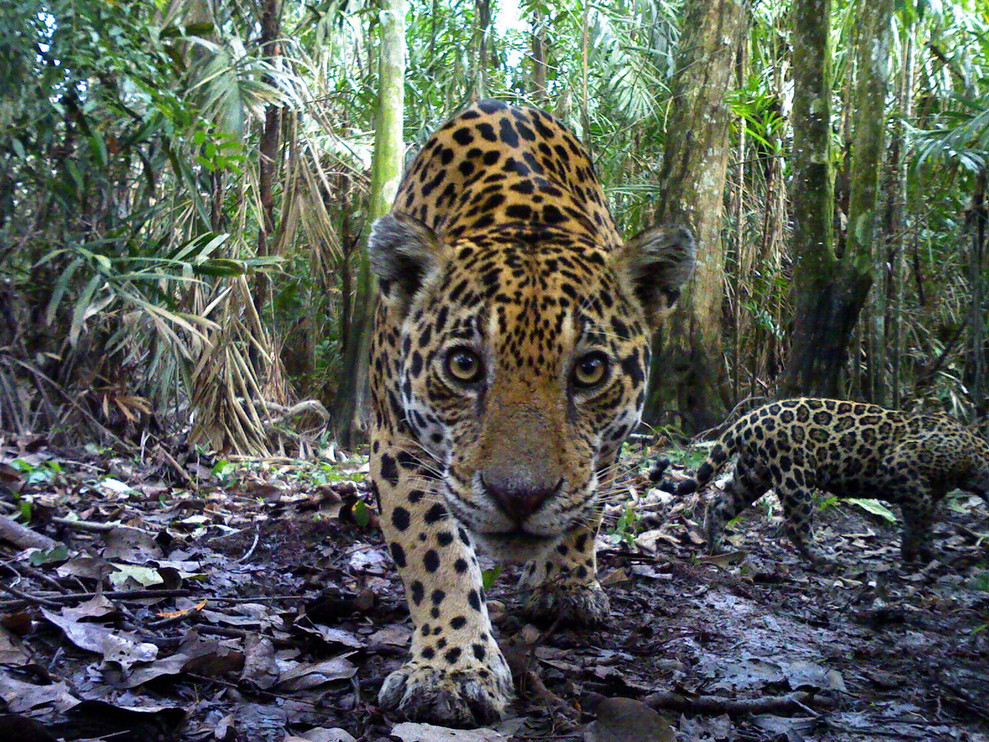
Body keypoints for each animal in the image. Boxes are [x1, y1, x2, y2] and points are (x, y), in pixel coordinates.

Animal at [366, 99, 695, 726]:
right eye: (464, 364)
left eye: (589, 370)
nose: (519, 497)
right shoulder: (399, 443)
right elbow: (434, 552)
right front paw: (451, 670)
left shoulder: (603, 449)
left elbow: (588, 506)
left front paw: (565, 586)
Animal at [673, 398, 989, 567]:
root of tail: (749, 417)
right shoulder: (903, 468)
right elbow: (919, 517)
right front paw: (911, 553)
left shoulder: (931, 491)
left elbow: (928, 518)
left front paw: (928, 551)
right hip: (794, 477)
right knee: (797, 526)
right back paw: (823, 557)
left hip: (752, 475)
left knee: (719, 505)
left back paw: (717, 547)